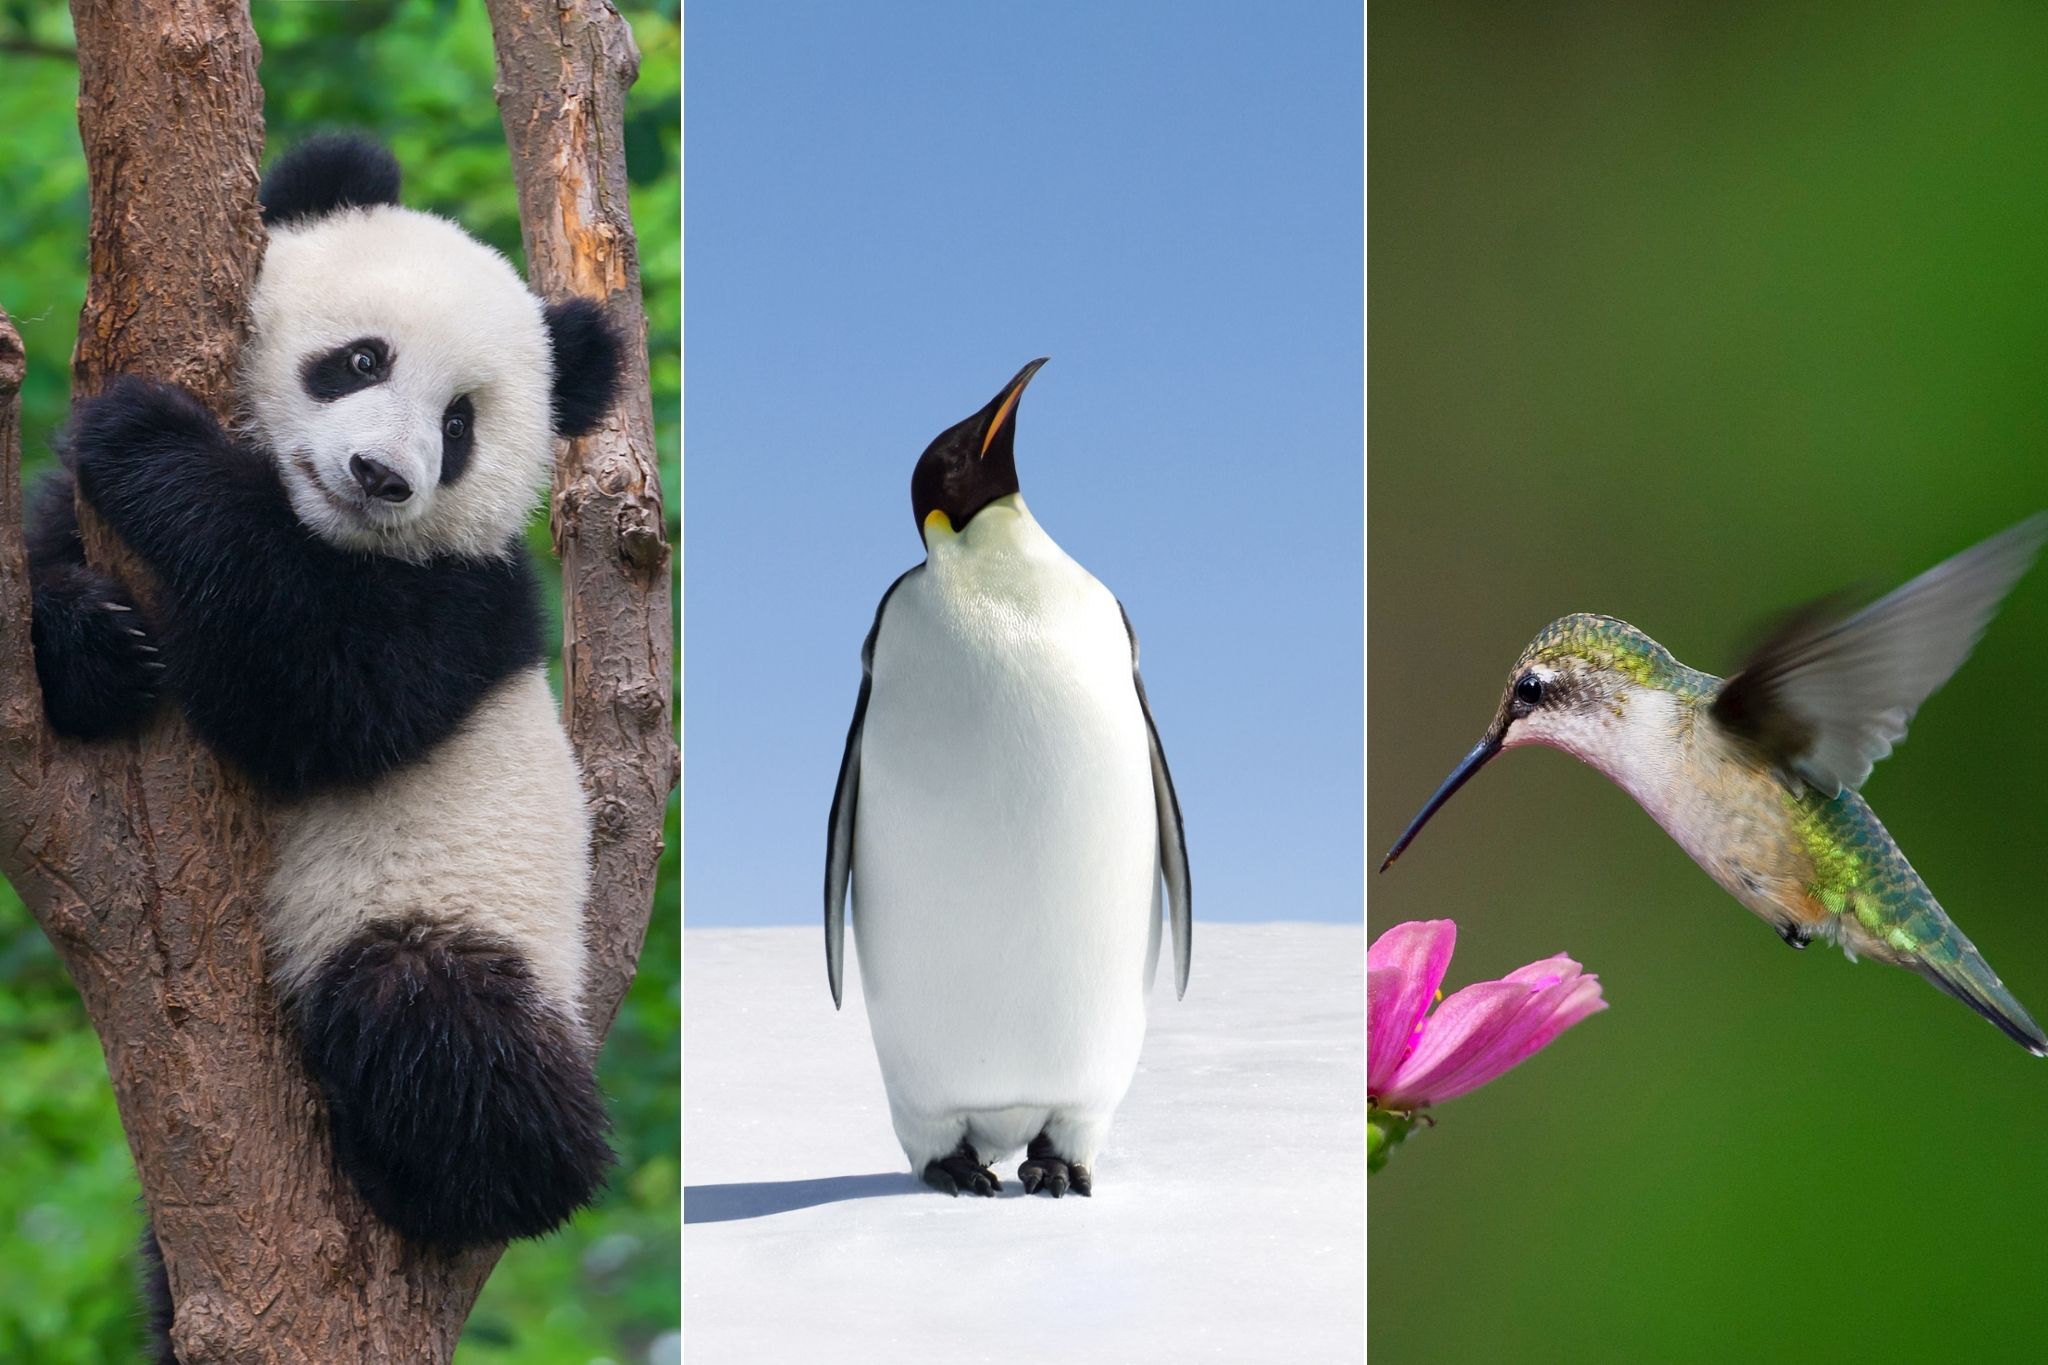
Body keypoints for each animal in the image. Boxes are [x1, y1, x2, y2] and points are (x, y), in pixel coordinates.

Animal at [27, 134, 623, 1274]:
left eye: (458, 424)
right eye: (360, 361)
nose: (381, 476)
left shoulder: (464, 602)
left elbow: (320, 694)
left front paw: (147, 439)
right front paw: (94, 642)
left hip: (461, 916)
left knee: (438, 1023)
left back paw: (453, 1179)